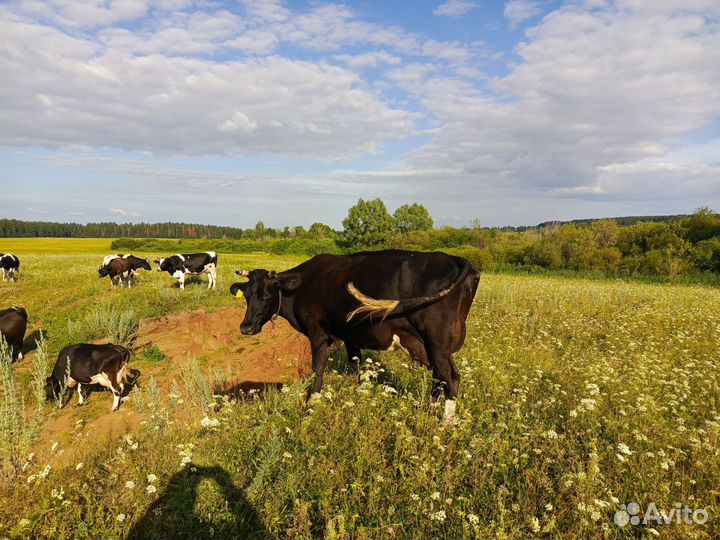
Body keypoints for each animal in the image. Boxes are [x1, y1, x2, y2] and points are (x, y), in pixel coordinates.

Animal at [230, 250, 479, 424]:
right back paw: (430, 410)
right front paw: (362, 398)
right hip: (432, 345)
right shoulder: (349, 336)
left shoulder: (318, 333)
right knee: (439, 377)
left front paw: (311, 405)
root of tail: (455, 259)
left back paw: (445, 423)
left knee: (451, 377)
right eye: (247, 295)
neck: (303, 285)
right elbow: (357, 365)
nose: (246, 327)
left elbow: (317, 369)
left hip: (437, 341)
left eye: (267, 294)